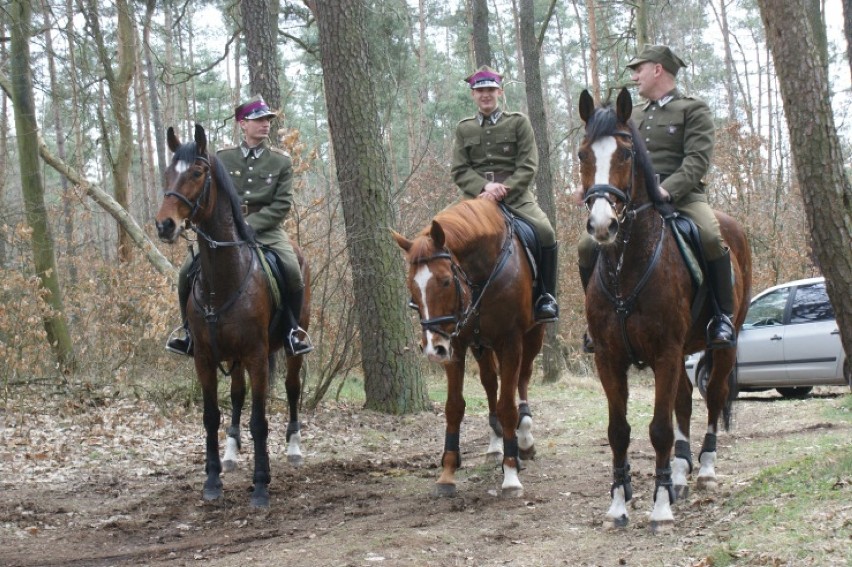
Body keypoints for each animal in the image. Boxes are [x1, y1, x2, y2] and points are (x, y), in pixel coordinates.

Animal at [155, 125, 312, 510]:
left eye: (197, 173)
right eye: (168, 172)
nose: (165, 225)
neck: (223, 279)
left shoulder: (256, 355)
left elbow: (260, 421)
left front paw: (261, 486)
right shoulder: (205, 358)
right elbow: (211, 416)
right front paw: (212, 480)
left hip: (289, 345)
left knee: (292, 388)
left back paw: (294, 447)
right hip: (233, 357)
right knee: (238, 395)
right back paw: (230, 452)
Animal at [580, 90, 752, 532]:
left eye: (626, 154)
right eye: (583, 154)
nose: (602, 225)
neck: (625, 264)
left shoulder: (665, 353)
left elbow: (658, 429)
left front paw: (659, 508)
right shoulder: (609, 359)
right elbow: (618, 431)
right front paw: (619, 504)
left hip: (723, 344)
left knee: (713, 397)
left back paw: (704, 470)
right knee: (685, 402)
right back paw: (679, 472)